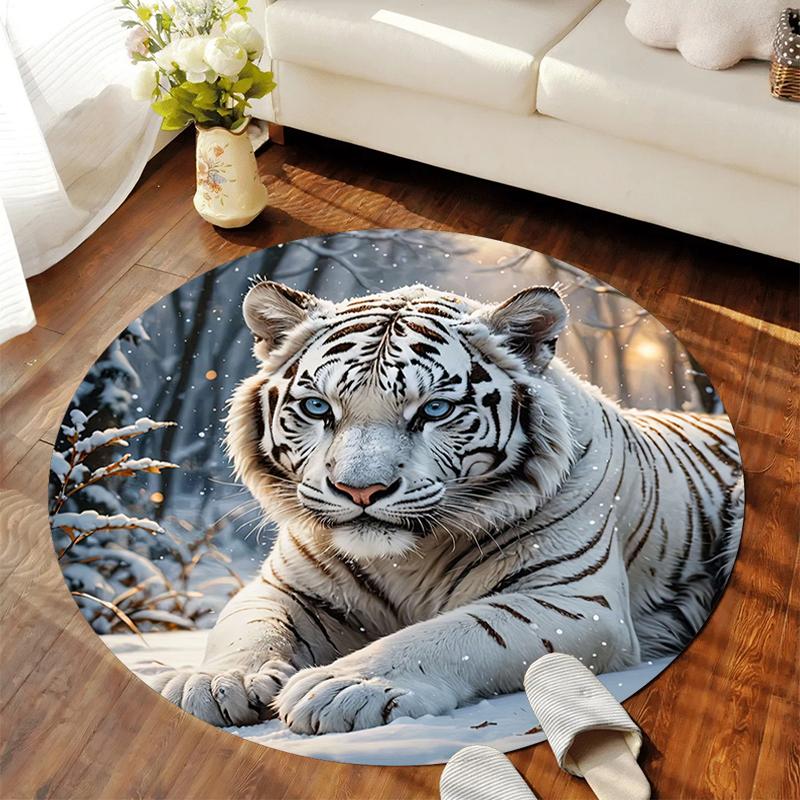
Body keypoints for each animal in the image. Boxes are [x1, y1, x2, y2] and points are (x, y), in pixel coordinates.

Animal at [149, 280, 743, 734]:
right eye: (318, 407)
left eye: (434, 410)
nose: (360, 490)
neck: (405, 559)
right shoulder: (288, 587)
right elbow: (250, 627)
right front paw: (215, 682)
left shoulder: (577, 600)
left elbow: (461, 632)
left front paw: (344, 687)